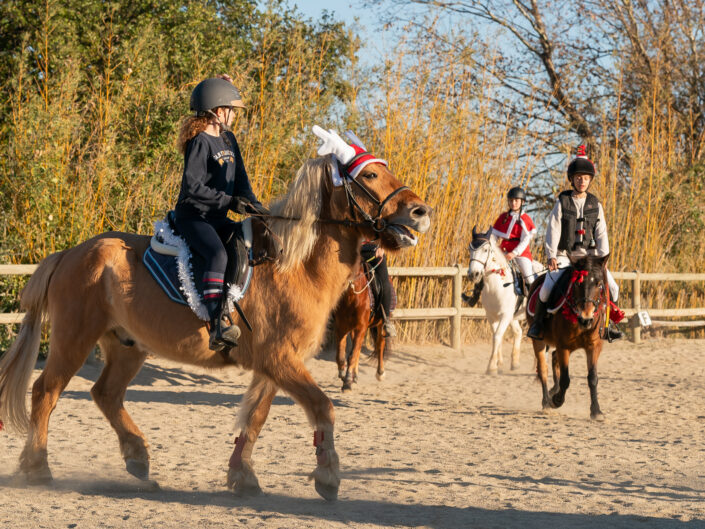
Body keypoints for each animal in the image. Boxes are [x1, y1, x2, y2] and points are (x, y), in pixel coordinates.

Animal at [332, 260, 388, 392]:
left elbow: (352, 355)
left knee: (380, 344)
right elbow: (341, 355)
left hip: (380, 325)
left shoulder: (361, 327)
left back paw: (380, 373)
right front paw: (343, 375)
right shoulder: (341, 327)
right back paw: (355, 375)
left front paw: (347, 382)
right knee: (357, 348)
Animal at [464, 228, 540, 376]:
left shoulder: (505, 315)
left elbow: (497, 336)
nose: (473, 274)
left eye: (486, 250)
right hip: (513, 316)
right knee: (518, 332)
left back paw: (537, 365)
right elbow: (496, 335)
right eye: (470, 249)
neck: (496, 286)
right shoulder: (491, 316)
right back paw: (515, 363)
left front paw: (491, 367)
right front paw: (498, 363)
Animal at [524, 254, 608, 418]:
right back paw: (546, 402)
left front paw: (596, 411)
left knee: (554, 358)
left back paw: (552, 391)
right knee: (543, 369)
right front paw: (556, 401)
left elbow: (592, 378)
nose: (586, 319)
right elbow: (565, 379)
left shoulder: (594, 346)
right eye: (577, 284)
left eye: (599, 284)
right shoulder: (564, 347)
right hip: (539, 341)